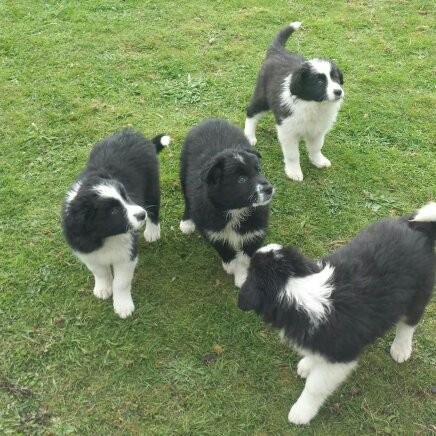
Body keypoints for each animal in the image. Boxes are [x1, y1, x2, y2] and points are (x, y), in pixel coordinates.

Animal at [61, 129, 170, 316]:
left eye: (126, 196)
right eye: (113, 211)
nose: (141, 214)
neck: (105, 236)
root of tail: (134, 134)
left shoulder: (127, 253)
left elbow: (121, 282)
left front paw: (123, 306)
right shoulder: (87, 251)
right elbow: (100, 272)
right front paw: (103, 288)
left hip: (152, 183)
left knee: (154, 207)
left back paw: (152, 232)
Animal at [179, 117, 274, 288]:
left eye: (258, 170)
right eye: (241, 179)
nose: (269, 189)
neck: (236, 210)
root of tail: (212, 119)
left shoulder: (255, 229)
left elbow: (245, 256)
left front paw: (242, 276)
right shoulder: (211, 227)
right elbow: (223, 246)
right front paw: (230, 266)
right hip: (183, 172)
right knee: (187, 199)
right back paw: (187, 223)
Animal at [238, 204, 436, 426]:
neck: (296, 289)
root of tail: (415, 226)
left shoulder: (340, 358)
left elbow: (315, 387)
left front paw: (301, 411)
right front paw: (308, 364)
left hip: (419, 292)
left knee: (408, 324)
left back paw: (401, 350)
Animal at [245, 21, 344, 182]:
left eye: (335, 77)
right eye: (319, 81)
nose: (338, 92)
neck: (313, 103)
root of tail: (277, 51)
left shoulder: (318, 130)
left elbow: (316, 147)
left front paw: (318, 161)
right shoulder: (287, 130)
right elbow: (292, 154)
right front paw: (294, 172)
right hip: (263, 96)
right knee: (251, 112)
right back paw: (250, 136)